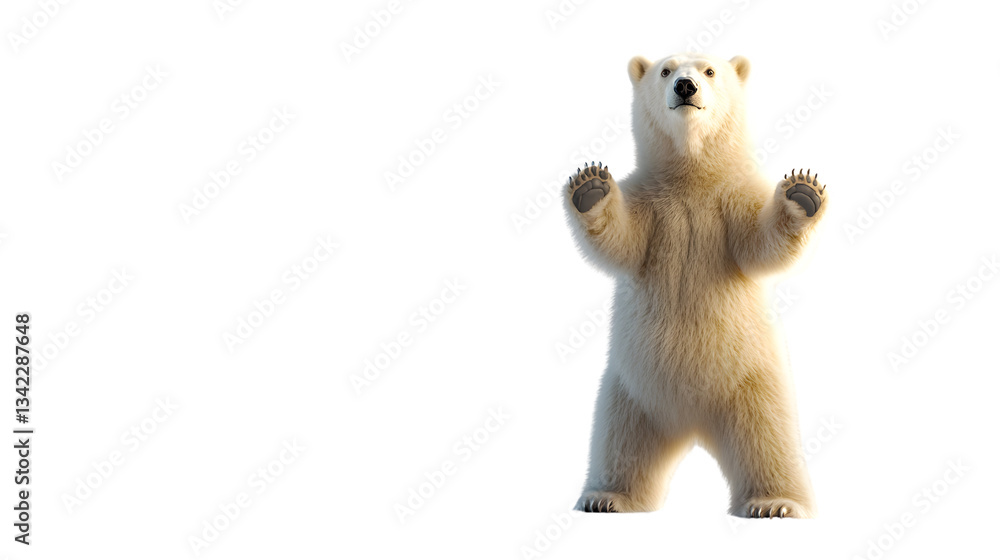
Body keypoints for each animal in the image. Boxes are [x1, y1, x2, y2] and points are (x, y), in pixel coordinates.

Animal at [564, 53, 826, 518]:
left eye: (709, 71)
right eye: (666, 71)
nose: (685, 87)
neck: (692, 175)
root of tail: (691, 425)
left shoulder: (733, 200)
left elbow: (761, 245)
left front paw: (802, 194)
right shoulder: (649, 202)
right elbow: (621, 242)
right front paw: (591, 187)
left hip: (753, 382)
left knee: (768, 438)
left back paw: (775, 503)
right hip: (630, 389)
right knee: (619, 440)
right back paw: (606, 496)